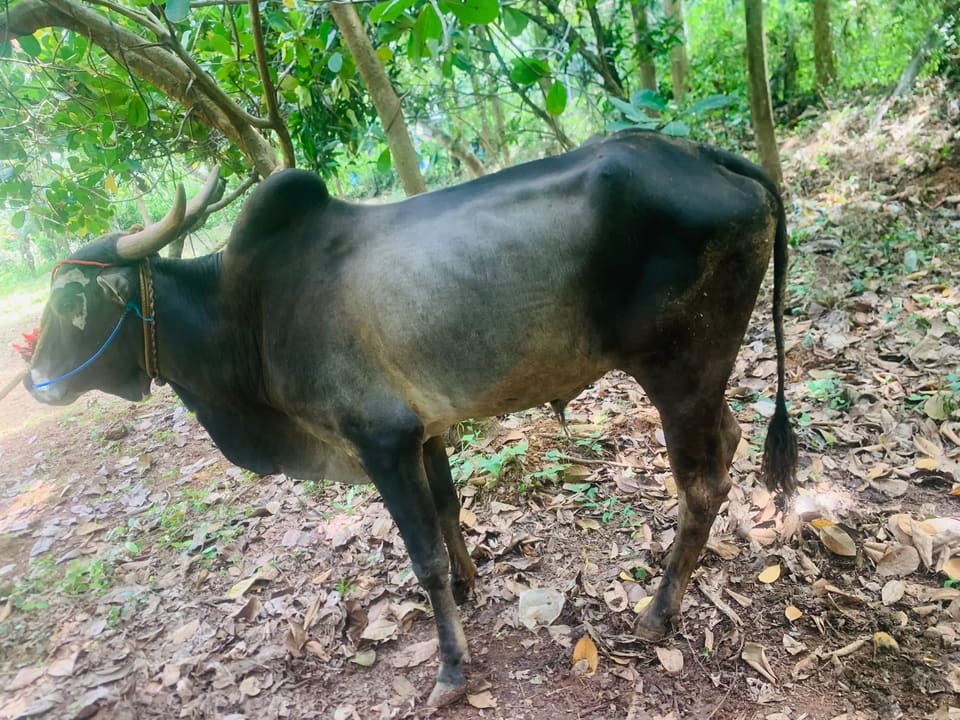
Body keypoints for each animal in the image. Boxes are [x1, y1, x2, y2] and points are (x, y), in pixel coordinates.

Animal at [24, 129, 797, 707]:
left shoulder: (381, 440)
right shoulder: (423, 432)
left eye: (74, 303)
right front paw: (470, 582)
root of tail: (702, 154)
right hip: (699, 379)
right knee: (729, 444)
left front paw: (451, 669)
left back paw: (658, 613)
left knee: (702, 482)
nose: (33, 383)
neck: (249, 311)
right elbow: (450, 509)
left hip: (681, 371)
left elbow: (420, 557)